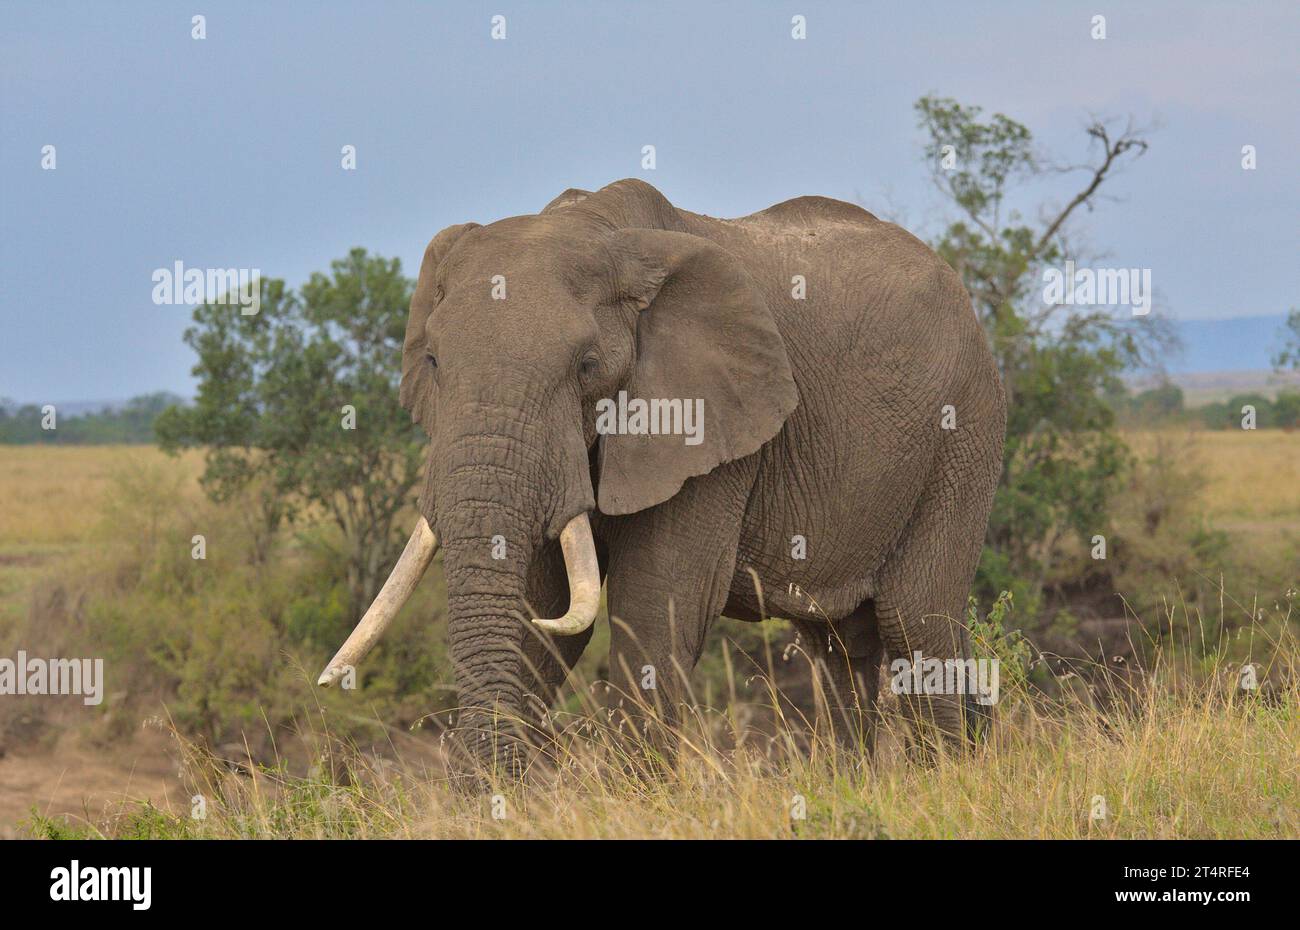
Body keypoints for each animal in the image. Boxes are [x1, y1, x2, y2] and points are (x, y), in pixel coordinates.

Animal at [314, 178, 1003, 775]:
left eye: (587, 365)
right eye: (432, 360)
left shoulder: (704, 422)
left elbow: (654, 604)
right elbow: (543, 612)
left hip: (963, 430)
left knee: (915, 620)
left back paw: (943, 781)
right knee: (838, 646)